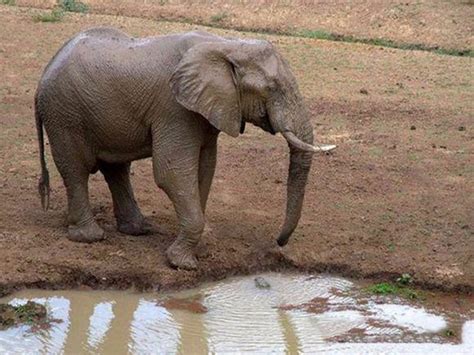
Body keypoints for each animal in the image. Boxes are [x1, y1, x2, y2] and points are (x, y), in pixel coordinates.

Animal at [35, 27, 336, 272]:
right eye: (271, 88)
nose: (278, 242)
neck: (227, 45)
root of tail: (44, 75)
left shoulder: (209, 108)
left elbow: (206, 168)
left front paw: (197, 248)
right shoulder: (174, 108)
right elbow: (172, 172)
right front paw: (183, 264)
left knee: (115, 169)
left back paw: (138, 230)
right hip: (65, 114)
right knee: (76, 169)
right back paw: (89, 237)